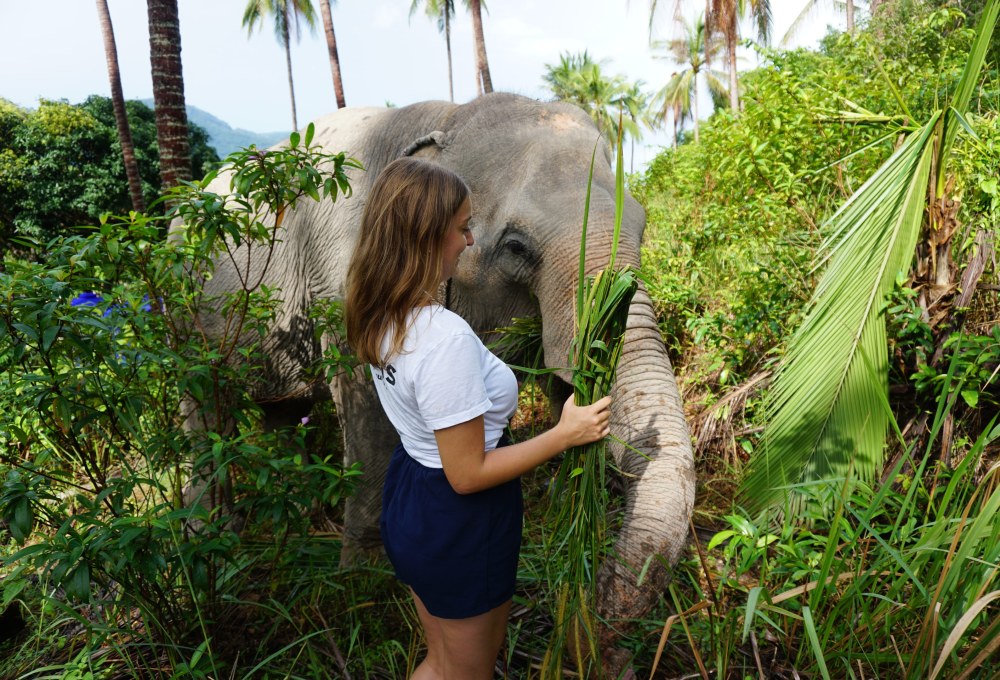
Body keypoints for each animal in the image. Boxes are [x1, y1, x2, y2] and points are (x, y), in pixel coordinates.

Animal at [192, 92, 695, 673]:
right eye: (516, 247)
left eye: (642, 225)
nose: (604, 649)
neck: (446, 118)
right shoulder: (342, 285)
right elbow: (369, 420)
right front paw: (363, 588)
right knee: (201, 412)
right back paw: (217, 542)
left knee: (279, 412)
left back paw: (292, 523)